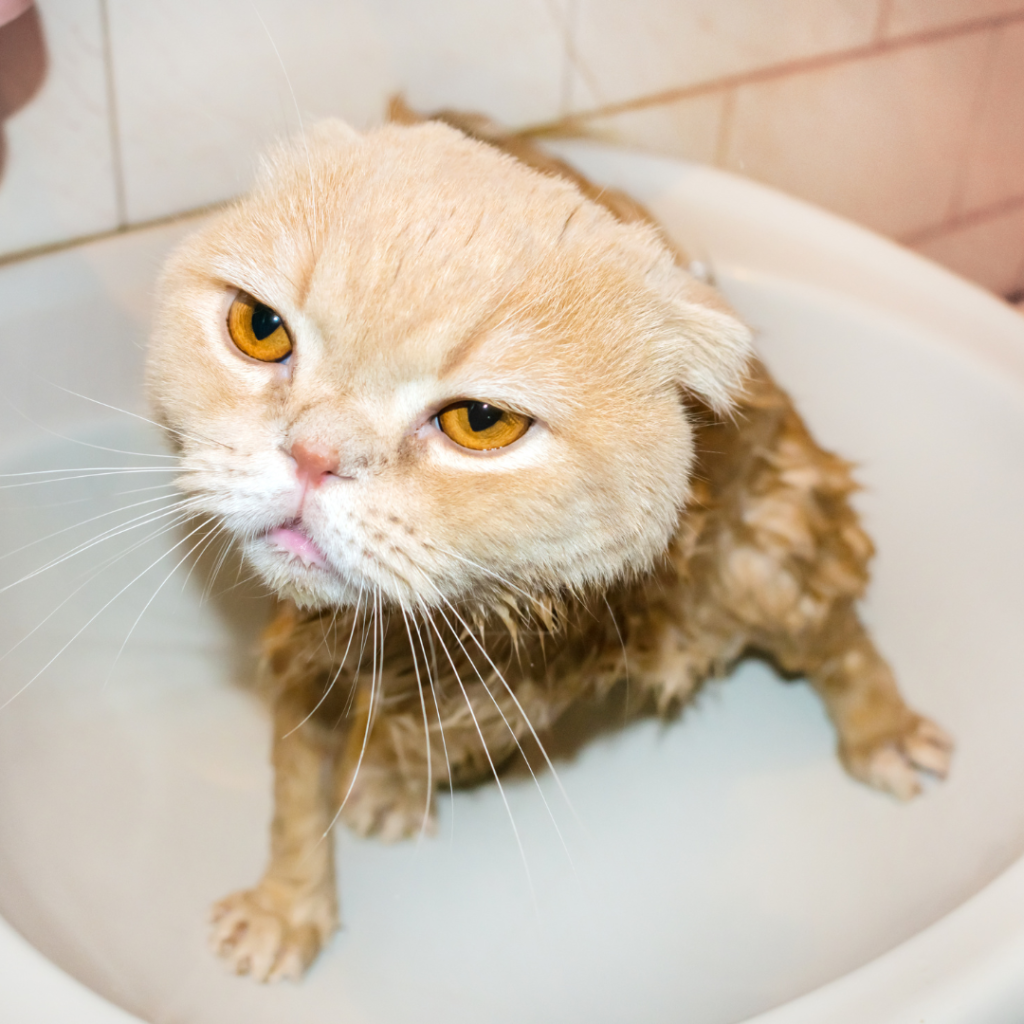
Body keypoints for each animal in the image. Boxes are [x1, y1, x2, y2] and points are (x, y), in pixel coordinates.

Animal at [148, 108, 954, 978]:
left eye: (481, 422)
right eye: (261, 330)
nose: (312, 456)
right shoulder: (309, 646)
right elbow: (299, 784)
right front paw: (287, 905)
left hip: (767, 546)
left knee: (831, 624)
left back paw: (885, 733)